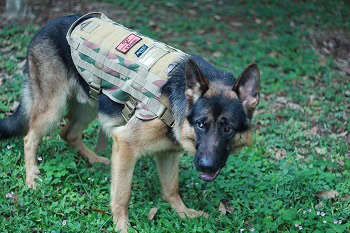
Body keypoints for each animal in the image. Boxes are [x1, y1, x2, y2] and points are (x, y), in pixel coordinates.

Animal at [0, 14, 260, 231]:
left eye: (227, 128)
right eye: (201, 124)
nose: (206, 166)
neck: (176, 100)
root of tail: (45, 27)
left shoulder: (168, 153)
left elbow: (171, 189)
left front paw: (184, 213)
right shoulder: (125, 145)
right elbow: (121, 196)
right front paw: (122, 226)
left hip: (89, 107)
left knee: (69, 133)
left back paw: (95, 159)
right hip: (52, 109)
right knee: (30, 138)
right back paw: (32, 177)